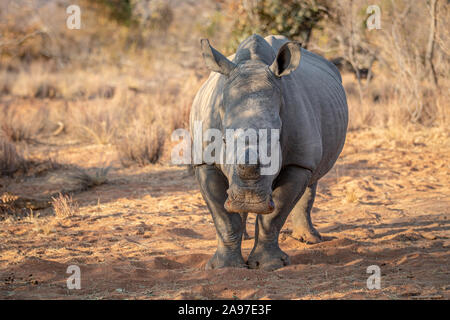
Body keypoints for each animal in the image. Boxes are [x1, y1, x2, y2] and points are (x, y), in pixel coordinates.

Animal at [189, 34, 348, 270]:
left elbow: (275, 214)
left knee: (312, 179)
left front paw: (269, 264)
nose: (248, 200)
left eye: (276, 141)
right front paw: (224, 267)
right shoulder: (204, 161)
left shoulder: (298, 162)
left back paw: (310, 240)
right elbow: (223, 216)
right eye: (223, 140)